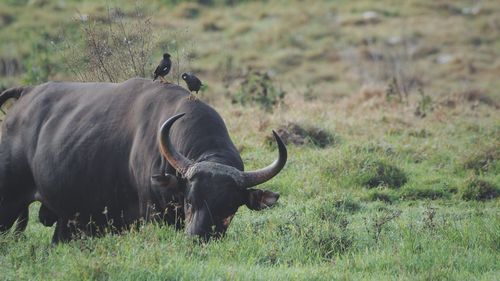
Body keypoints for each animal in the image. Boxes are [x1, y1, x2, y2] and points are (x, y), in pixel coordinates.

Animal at [0, 77, 288, 242]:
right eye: (189, 201)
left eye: (229, 208)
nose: (196, 238)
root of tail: (26, 94)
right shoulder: (152, 217)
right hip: (8, 204)